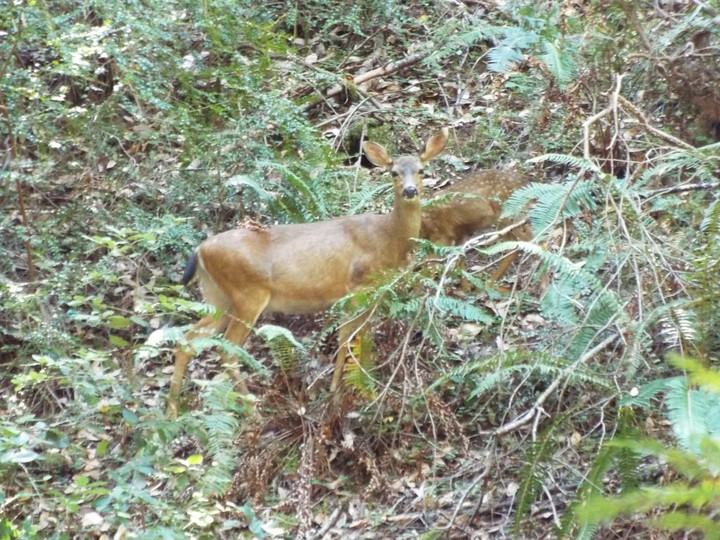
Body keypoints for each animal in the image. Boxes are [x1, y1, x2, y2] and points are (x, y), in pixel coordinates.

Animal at [166, 129, 449, 418]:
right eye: (393, 172)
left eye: (422, 170)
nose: (410, 190)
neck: (387, 238)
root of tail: (199, 250)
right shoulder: (355, 287)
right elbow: (347, 339)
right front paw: (339, 393)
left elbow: (363, 337)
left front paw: (364, 386)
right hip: (247, 294)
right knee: (227, 351)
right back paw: (252, 412)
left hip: (219, 298)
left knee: (188, 339)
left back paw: (171, 412)